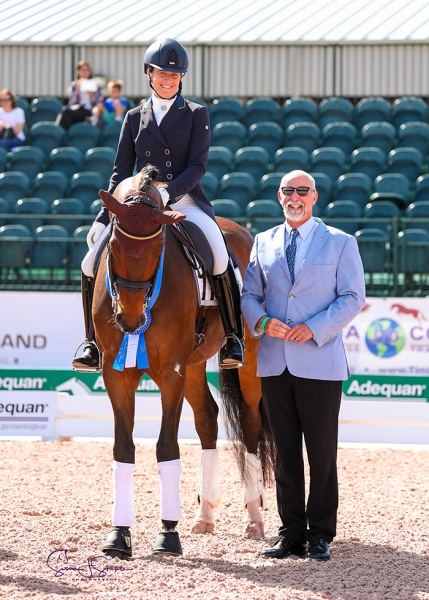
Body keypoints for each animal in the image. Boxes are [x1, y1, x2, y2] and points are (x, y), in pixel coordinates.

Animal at [93, 164, 274, 556]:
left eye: (159, 247)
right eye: (112, 246)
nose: (130, 319)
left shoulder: (170, 373)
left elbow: (166, 448)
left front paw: (168, 534)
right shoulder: (116, 375)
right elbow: (123, 448)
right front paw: (119, 535)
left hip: (249, 361)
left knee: (251, 425)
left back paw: (254, 516)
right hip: (193, 364)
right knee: (207, 419)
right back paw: (204, 515)